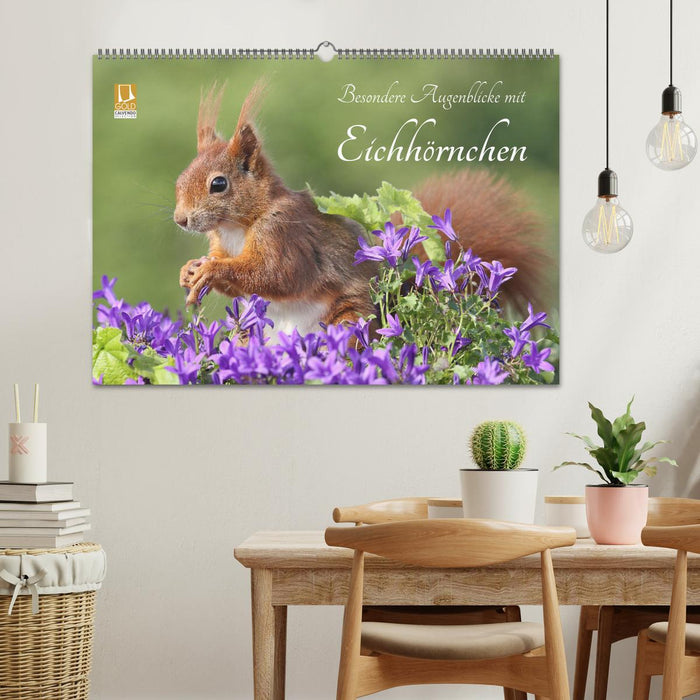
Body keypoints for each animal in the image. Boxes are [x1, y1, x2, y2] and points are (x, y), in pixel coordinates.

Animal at [174, 84, 551, 334]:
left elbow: (277, 275)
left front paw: (211, 271)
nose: (181, 219)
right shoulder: (220, 242)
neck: (237, 225)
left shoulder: (284, 234)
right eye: (180, 178)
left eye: (218, 184)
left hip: (351, 317)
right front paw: (189, 270)